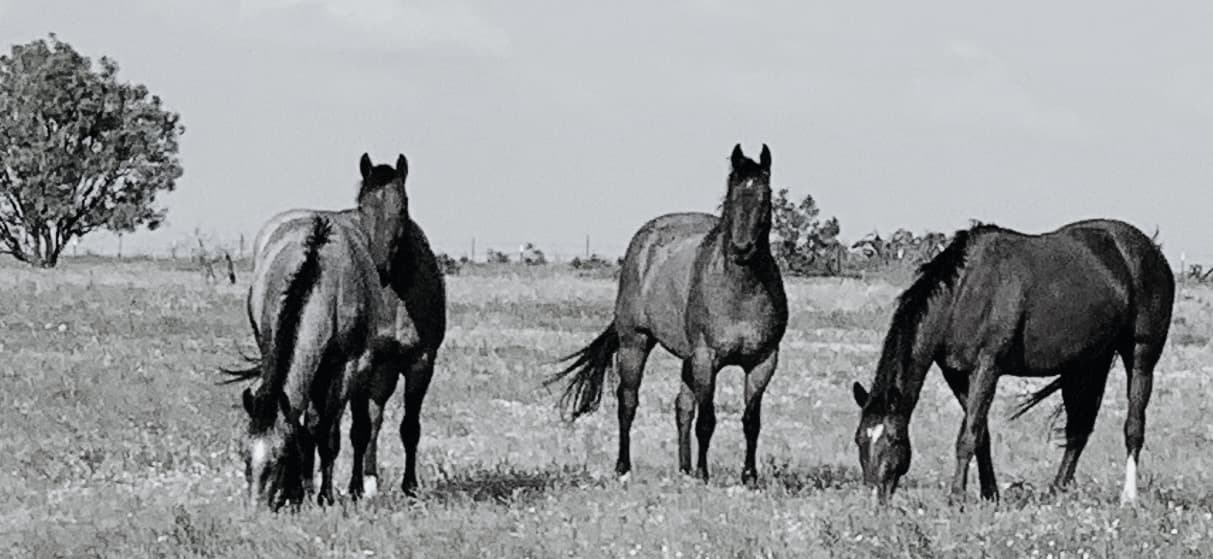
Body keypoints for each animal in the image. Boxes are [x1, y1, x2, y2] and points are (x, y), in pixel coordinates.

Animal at [221, 153, 446, 508]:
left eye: (280, 457)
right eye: (244, 456)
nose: (257, 508)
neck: (319, 277)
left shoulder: (370, 364)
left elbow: (343, 431)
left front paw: (328, 494)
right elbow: (313, 426)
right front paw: (302, 491)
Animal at [545, 144, 788, 485]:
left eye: (765, 197)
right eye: (731, 195)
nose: (742, 249)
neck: (741, 290)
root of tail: (643, 240)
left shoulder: (763, 361)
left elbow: (751, 420)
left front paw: (749, 476)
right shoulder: (706, 358)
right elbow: (707, 420)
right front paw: (703, 474)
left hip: (687, 358)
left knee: (682, 406)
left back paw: (683, 468)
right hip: (636, 342)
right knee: (628, 402)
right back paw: (624, 467)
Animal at [850, 218, 1174, 505]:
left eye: (894, 439)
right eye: (859, 440)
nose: (876, 500)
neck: (965, 292)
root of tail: (1152, 249)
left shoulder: (987, 367)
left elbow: (968, 435)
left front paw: (957, 498)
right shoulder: (956, 374)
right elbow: (981, 434)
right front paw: (989, 494)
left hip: (1141, 355)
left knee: (1133, 426)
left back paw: (1128, 498)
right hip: (1087, 364)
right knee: (1078, 429)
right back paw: (1056, 493)